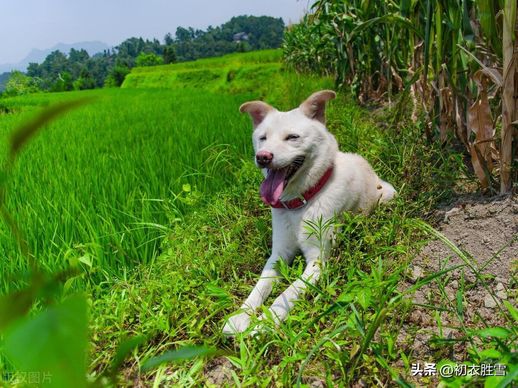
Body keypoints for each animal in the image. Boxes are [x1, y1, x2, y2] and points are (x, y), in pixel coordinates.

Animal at [223, 90, 398, 334]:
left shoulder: (318, 262)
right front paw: (240, 315)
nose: (263, 157)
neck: (300, 204)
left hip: (388, 195)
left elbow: (287, 294)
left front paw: (265, 322)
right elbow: (260, 285)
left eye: (292, 137)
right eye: (262, 138)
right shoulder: (278, 254)